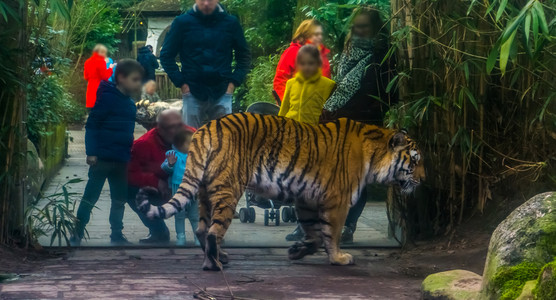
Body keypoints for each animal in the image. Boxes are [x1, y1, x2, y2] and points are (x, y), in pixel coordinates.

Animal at [137, 112, 424, 270]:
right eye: (415, 160)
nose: (424, 180)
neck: (374, 153)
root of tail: (205, 128)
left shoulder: (307, 199)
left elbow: (315, 234)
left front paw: (297, 250)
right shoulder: (337, 201)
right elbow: (332, 234)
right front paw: (339, 258)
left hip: (207, 191)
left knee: (201, 229)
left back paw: (222, 257)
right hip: (229, 190)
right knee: (212, 232)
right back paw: (214, 264)